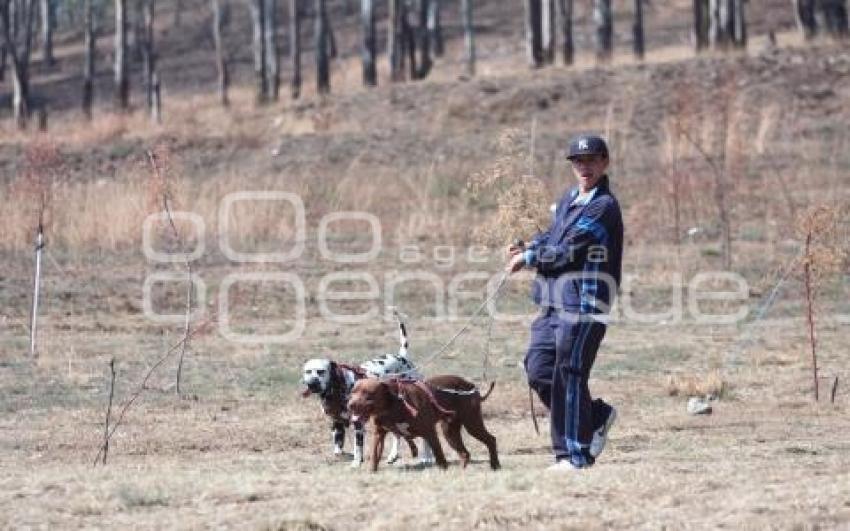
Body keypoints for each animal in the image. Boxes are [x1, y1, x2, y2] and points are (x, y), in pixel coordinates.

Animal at [348, 376, 500, 472]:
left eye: (368, 394)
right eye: (353, 392)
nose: (350, 405)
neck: (393, 405)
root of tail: (471, 386)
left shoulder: (429, 432)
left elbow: (439, 455)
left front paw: (443, 471)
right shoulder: (379, 434)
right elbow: (375, 455)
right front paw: (371, 472)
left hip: (472, 423)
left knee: (491, 440)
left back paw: (495, 465)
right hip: (449, 431)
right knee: (464, 453)